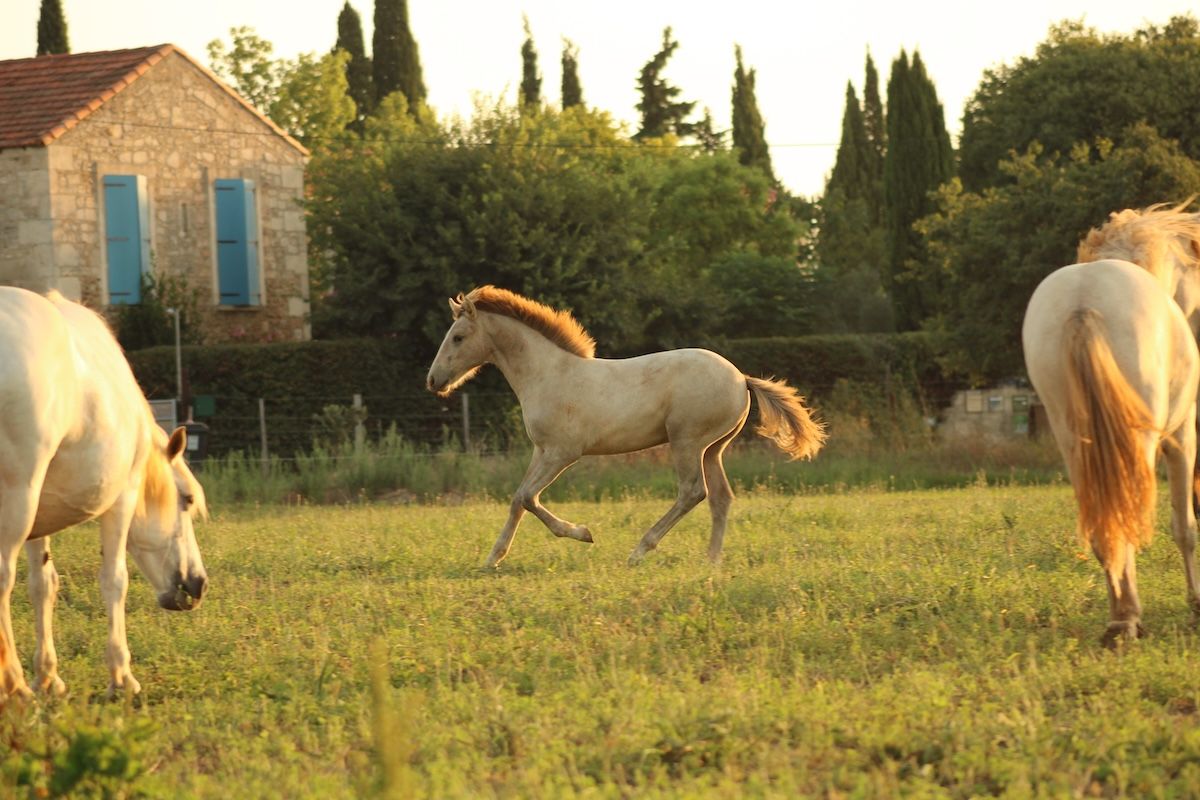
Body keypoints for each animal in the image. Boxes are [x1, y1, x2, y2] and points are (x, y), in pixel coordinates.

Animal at [0, 289, 208, 700]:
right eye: (188, 500)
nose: (198, 584)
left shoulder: (38, 516)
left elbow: (42, 585)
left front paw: (48, 677)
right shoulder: (121, 500)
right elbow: (115, 580)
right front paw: (121, 676)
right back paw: (14, 688)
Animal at [427, 284, 830, 566]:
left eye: (458, 337)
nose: (433, 381)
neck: (549, 374)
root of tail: (741, 378)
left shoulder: (563, 453)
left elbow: (527, 497)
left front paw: (583, 533)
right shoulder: (540, 450)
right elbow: (517, 498)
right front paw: (492, 558)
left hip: (687, 441)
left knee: (692, 492)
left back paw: (640, 551)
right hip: (713, 448)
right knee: (721, 497)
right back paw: (711, 560)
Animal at [1022, 205, 1200, 642]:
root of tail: (1082, 304)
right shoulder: (1181, 437)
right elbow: (1184, 526)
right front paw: (1195, 605)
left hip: (1075, 445)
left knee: (1106, 524)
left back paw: (1121, 618)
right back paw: (1128, 618)